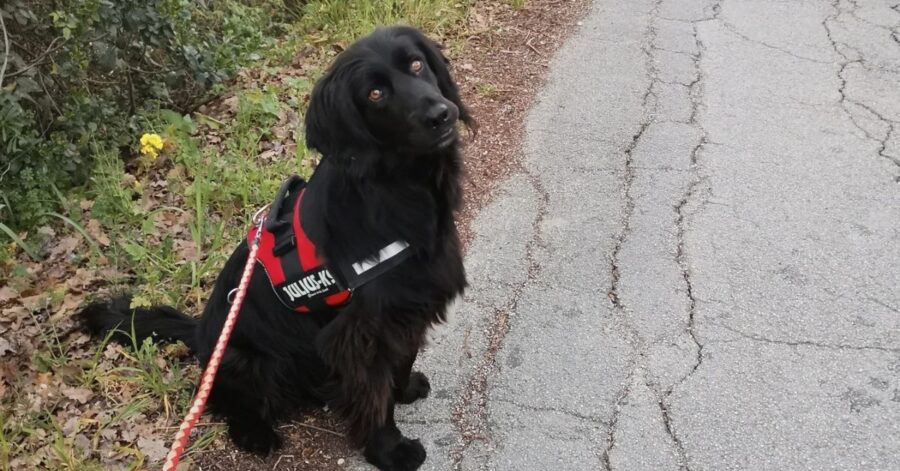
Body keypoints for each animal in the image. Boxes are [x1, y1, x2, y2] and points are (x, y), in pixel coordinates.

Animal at [81, 26, 474, 471]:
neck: (396, 189)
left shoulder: (408, 308)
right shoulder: (361, 331)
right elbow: (373, 395)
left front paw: (404, 389)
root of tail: (198, 332)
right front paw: (388, 449)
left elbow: (401, 361)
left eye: (416, 64)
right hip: (246, 359)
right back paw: (256, 433)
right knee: (228, 402)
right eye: (375, 94)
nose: (441, 115)